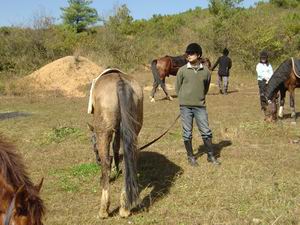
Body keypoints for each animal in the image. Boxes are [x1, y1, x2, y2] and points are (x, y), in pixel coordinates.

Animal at [87, 68, 144, 218]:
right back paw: (124, 207)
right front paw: (117, 169)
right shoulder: (119, 129)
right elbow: (116, 147)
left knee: (106, 162)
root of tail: (120, 82)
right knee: (129, 159)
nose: (96, 160)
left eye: (93, 143)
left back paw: (104, 209)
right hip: (133, 130)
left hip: (104, 132)